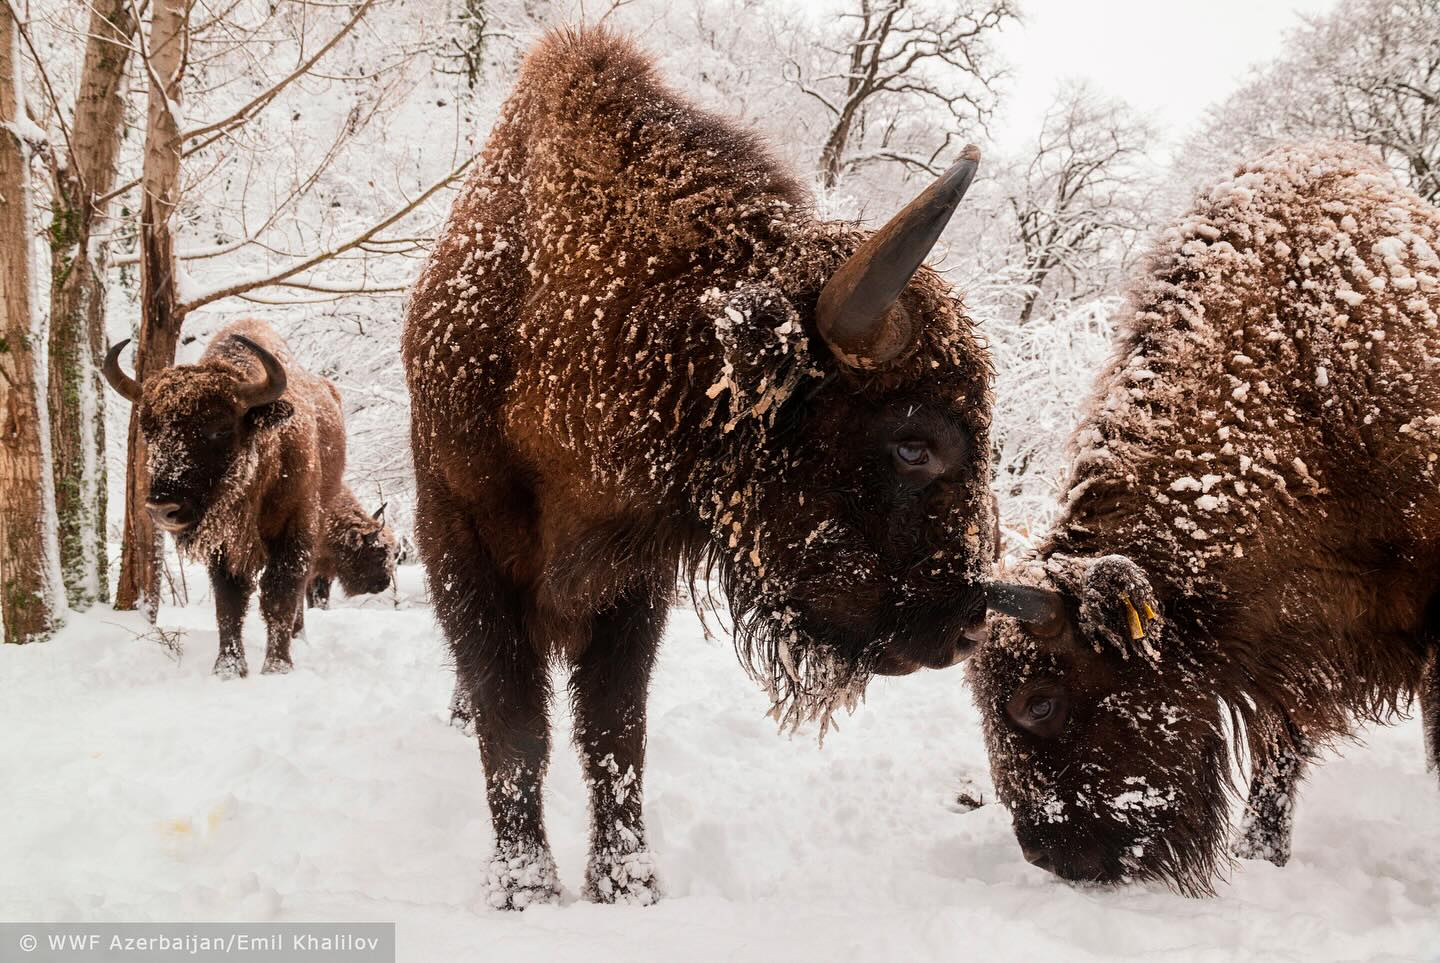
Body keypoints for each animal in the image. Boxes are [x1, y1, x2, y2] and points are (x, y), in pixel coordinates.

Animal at [104, 316, 342, 676]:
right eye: (149, 429)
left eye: (220, 429)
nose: (163, 509)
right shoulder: (224, 545)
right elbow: (229, 600)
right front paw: (228, 669)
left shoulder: (295, 532)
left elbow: (280, 595)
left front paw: (277, 667)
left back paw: (298, 636)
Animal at [400, 26, 996, 903]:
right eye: (913, 442)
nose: (969, 623)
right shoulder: (459, 538)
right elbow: (516, 726)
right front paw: (524, 885)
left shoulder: (634, 578)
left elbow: (614, 728)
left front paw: (625, 882)